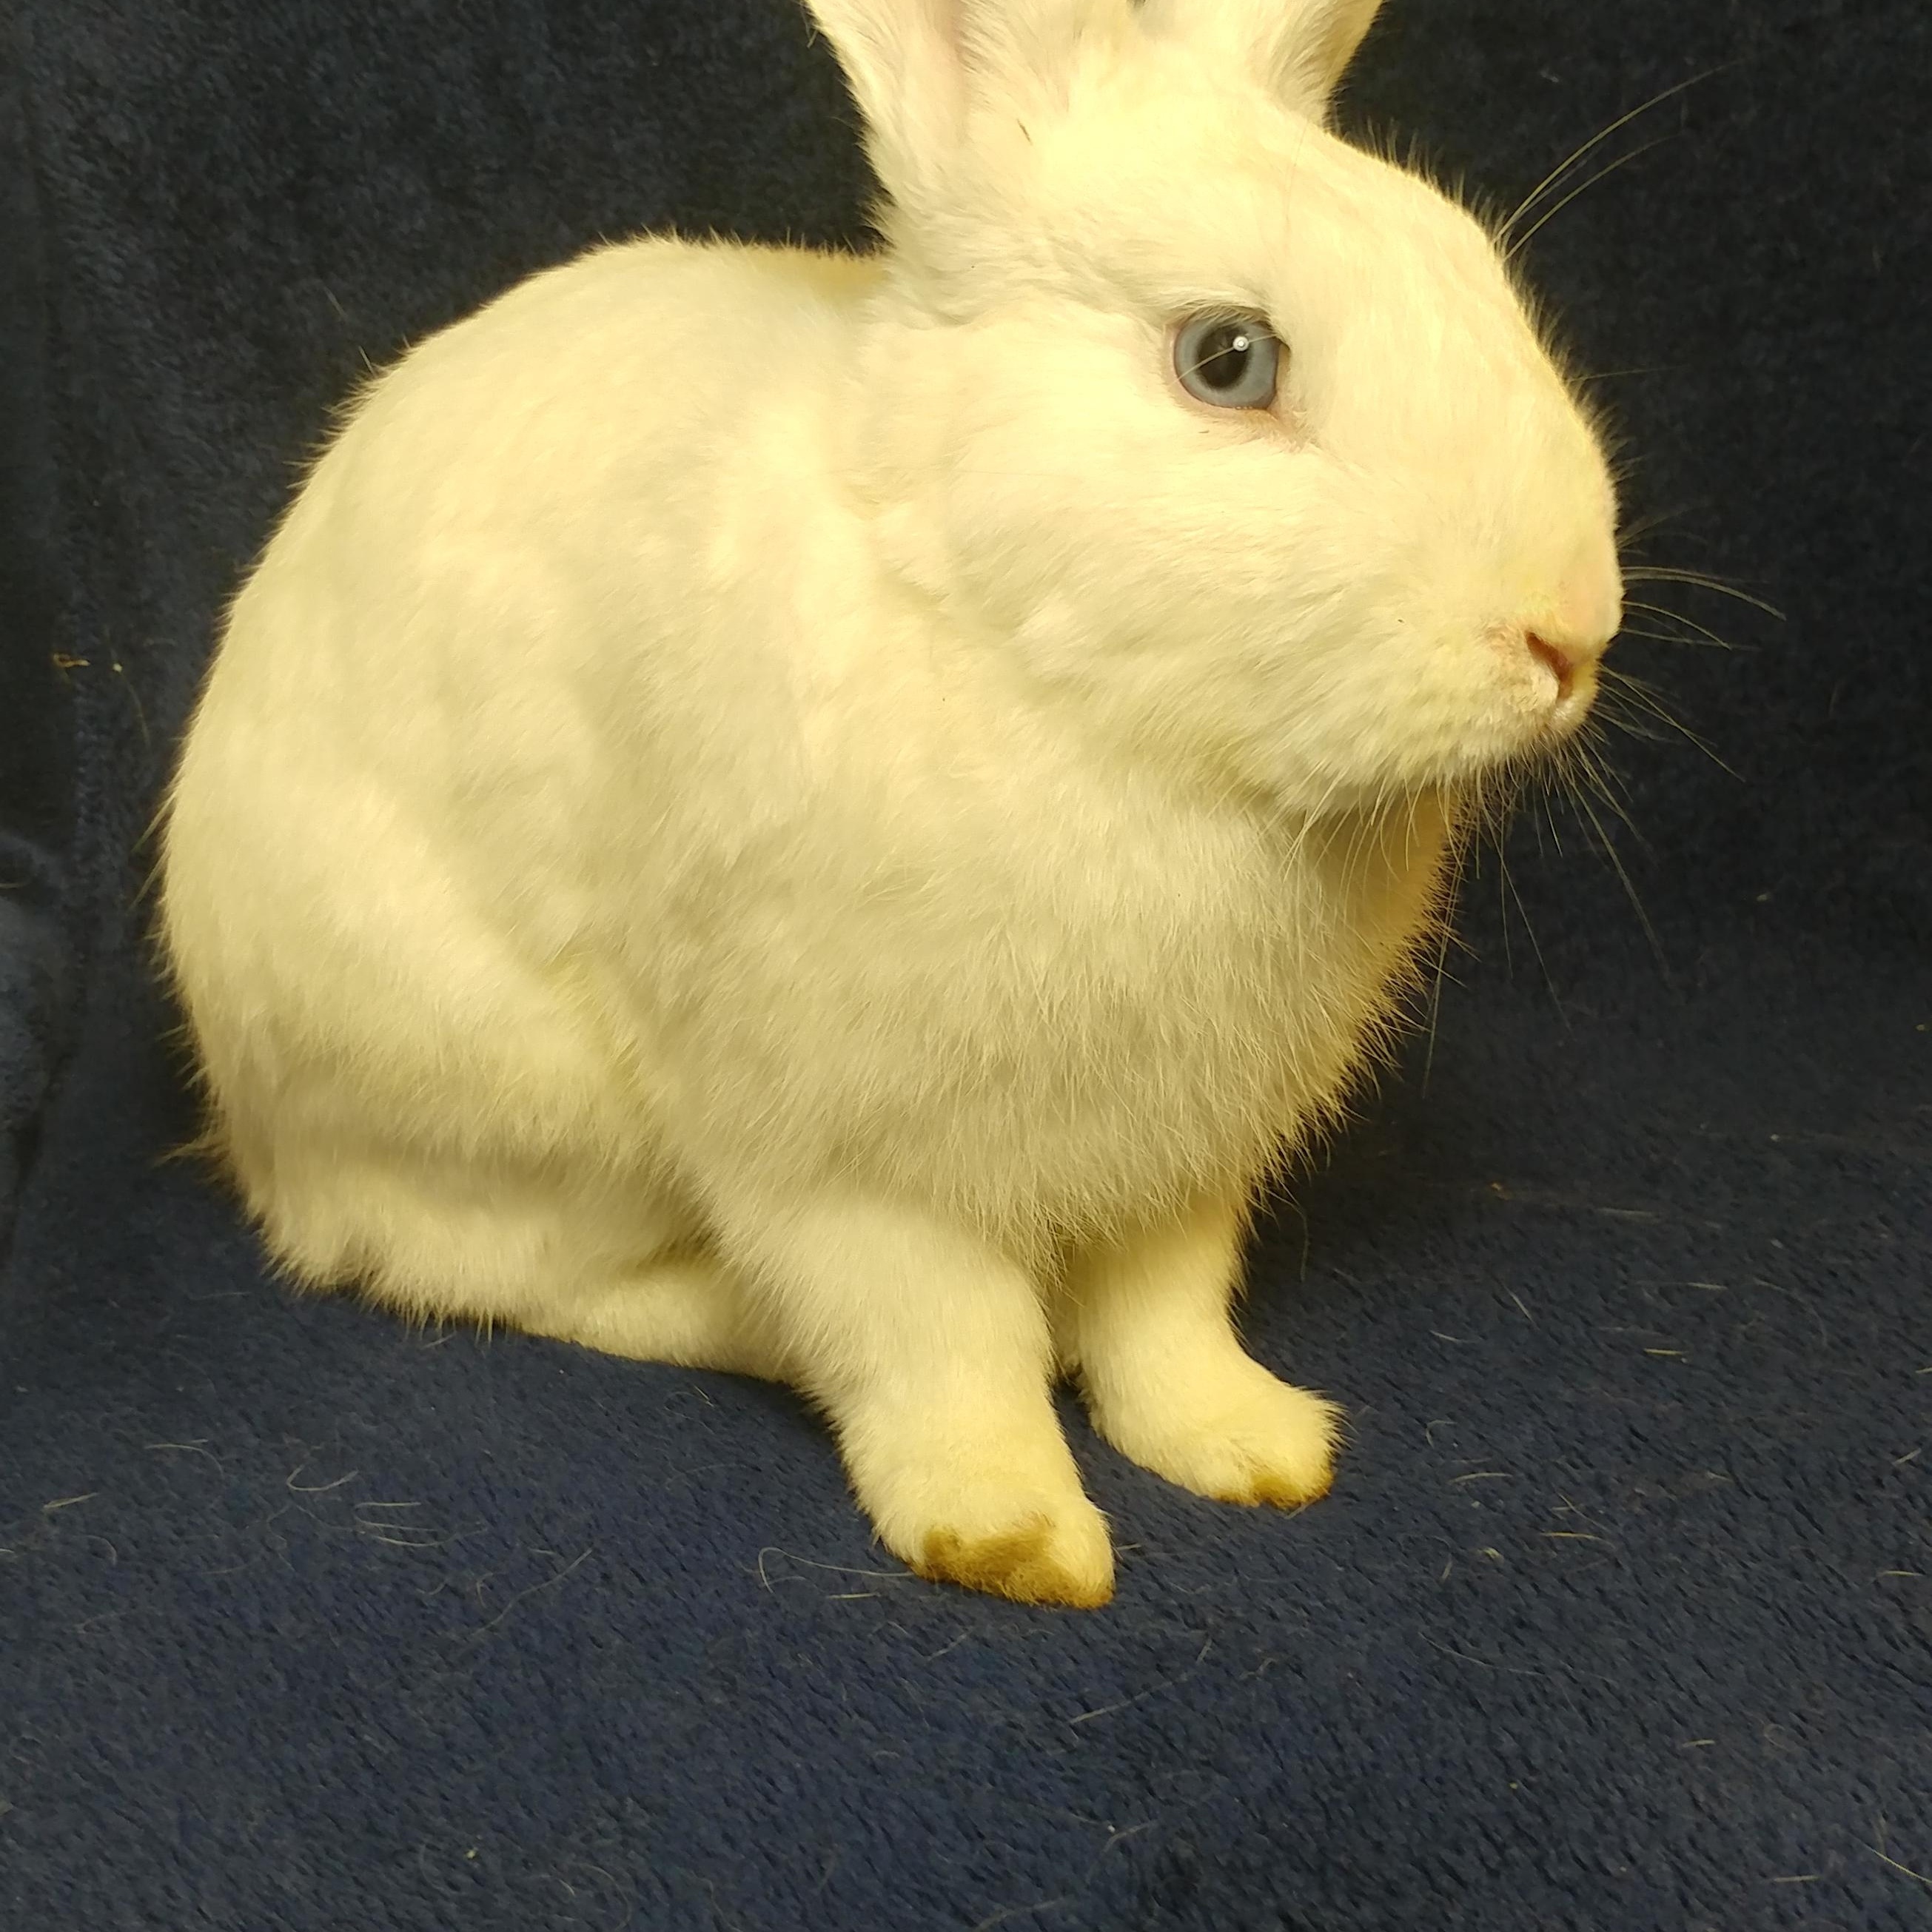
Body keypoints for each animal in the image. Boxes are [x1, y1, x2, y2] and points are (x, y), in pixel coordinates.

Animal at [158, 0, 1623, 1609]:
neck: (1053, 683)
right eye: (1228, 359)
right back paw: (745, 1329)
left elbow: (1167, 1321)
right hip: (508, 1108)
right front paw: (1015, 1538)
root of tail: (263, 1150)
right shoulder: (850, 1166)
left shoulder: (1184, 1159)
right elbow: (948, 1349)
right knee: (509, 1279)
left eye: (1472, 264)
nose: (1570, 633)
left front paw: (1251, 1449)